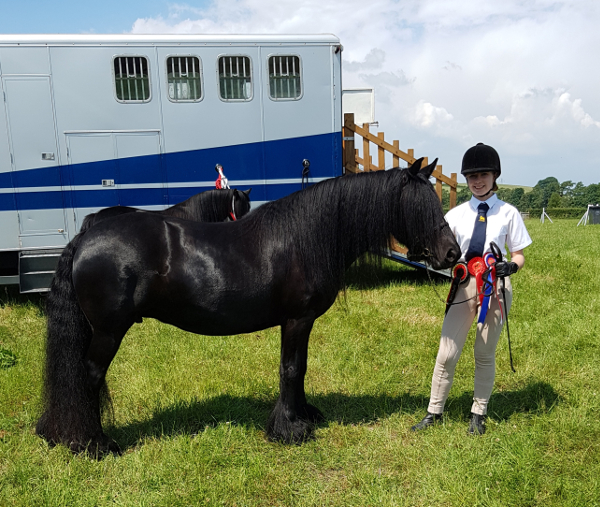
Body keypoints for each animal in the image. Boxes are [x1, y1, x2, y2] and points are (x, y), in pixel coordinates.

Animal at [36, 160, 460, 456]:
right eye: (418, 207)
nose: (452, 254)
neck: (306, 238)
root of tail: (85, 237)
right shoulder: (296, 319)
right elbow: (291, 369)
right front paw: (289, 429)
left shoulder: (300, 322)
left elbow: (299, 368)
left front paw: (302, 416)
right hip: (108, 332)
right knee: (88, 376)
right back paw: (92, 444)